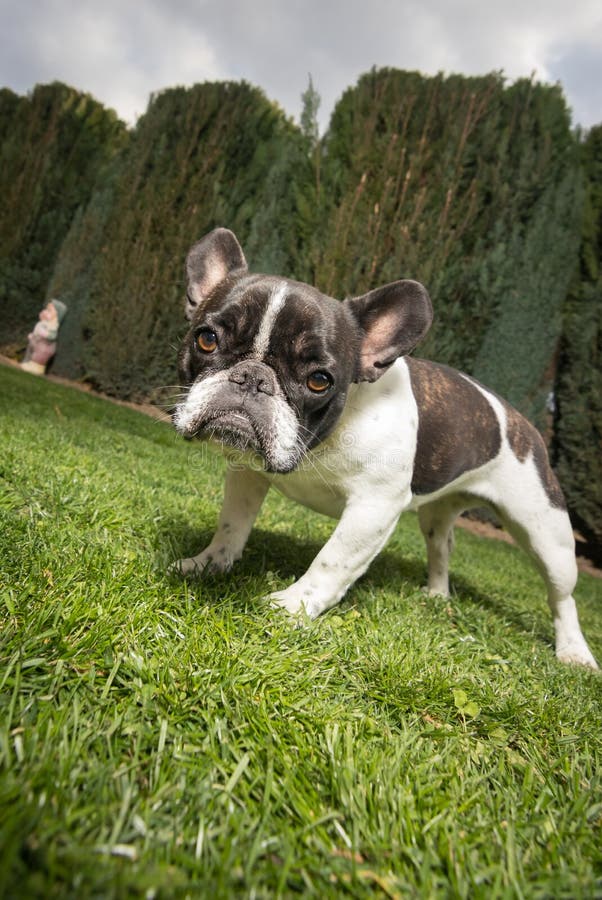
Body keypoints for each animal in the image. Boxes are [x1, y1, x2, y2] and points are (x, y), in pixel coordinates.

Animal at [171, 229, 596, 672]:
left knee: (562, 596)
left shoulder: (373, 508)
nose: (252, 378)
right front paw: (209, 563)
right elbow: (232, 525)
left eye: (320, 380)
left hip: (547, 533)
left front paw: (292, 606)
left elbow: (333, 559)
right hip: (438, 514)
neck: (324, 440)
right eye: (206, 339)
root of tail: (524, 424)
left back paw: (574, 652)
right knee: (441, 547)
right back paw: (437, 595)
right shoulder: (248, 475)